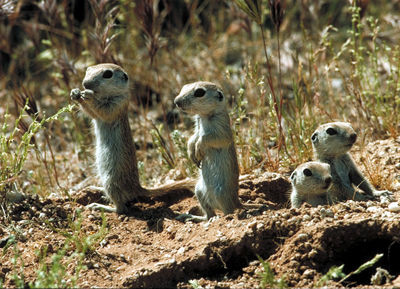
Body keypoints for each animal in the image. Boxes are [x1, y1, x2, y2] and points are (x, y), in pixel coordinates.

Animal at [70, 63, 195, 213]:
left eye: (107, 74)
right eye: (88, 70)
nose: (85, 84)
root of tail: (137, 188)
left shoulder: (118, 104)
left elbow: (102, 110)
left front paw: (87, 95)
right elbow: (91, 113)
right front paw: (75, 93)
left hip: (111, 182)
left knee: (121, 208)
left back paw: (99, 206)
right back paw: (94, 188)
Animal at [172, 81, 241, 220]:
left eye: (200, 92)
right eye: (184, 86)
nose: (176, 101)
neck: (204, 116)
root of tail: (237, 202)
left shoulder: (222, 129)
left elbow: (209, 137)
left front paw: (199, 147)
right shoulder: (197, 126)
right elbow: (193, 137)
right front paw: (192, 152)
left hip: (221, 193)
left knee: (228, 211)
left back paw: (223, 218)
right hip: (199, 190)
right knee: (208, 215)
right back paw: (191, 217)